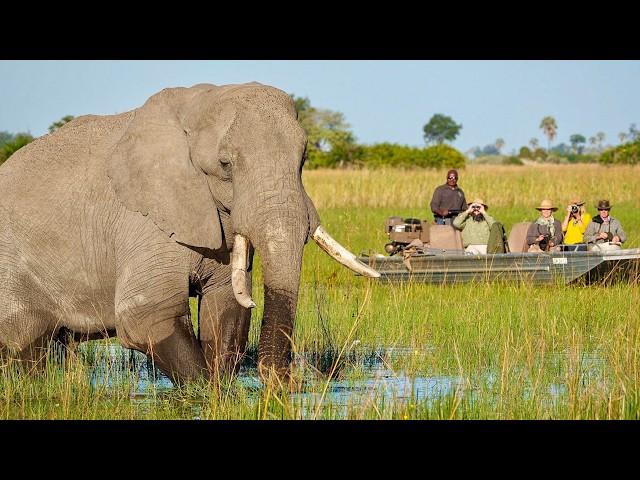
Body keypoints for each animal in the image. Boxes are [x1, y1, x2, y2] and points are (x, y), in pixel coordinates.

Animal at [0, 81, 380, 382]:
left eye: (302, 161)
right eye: (225, 165)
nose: (287, 385)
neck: (197, 106)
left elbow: (225, 308)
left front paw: (222, 394)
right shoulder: (145, 220)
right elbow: (148, 317)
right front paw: (206, 393)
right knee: (27, 345)